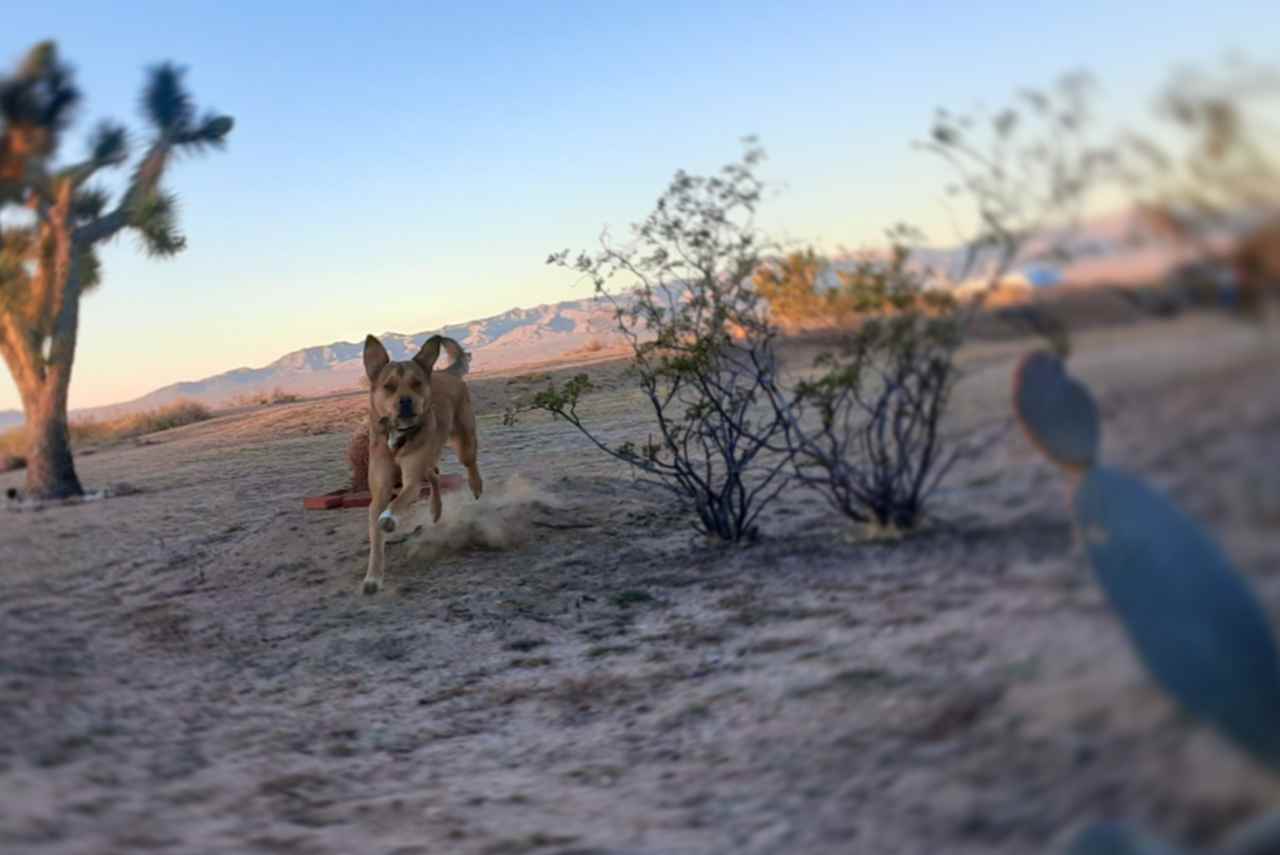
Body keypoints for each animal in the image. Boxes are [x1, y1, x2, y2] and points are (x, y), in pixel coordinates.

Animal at [358, 332, 481, 593]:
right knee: (434, 475)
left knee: (469, 463)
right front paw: (373, 577)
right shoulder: (379, 491)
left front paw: (389, 519)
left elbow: (398, 502)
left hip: (462, 440)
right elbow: (376, 538)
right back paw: (435, 510)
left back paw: (476, 486)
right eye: (389, 386)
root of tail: (444, 372)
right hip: (429, 457)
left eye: (416, 383)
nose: (405, 402)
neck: (397, 436)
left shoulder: (411, 481)